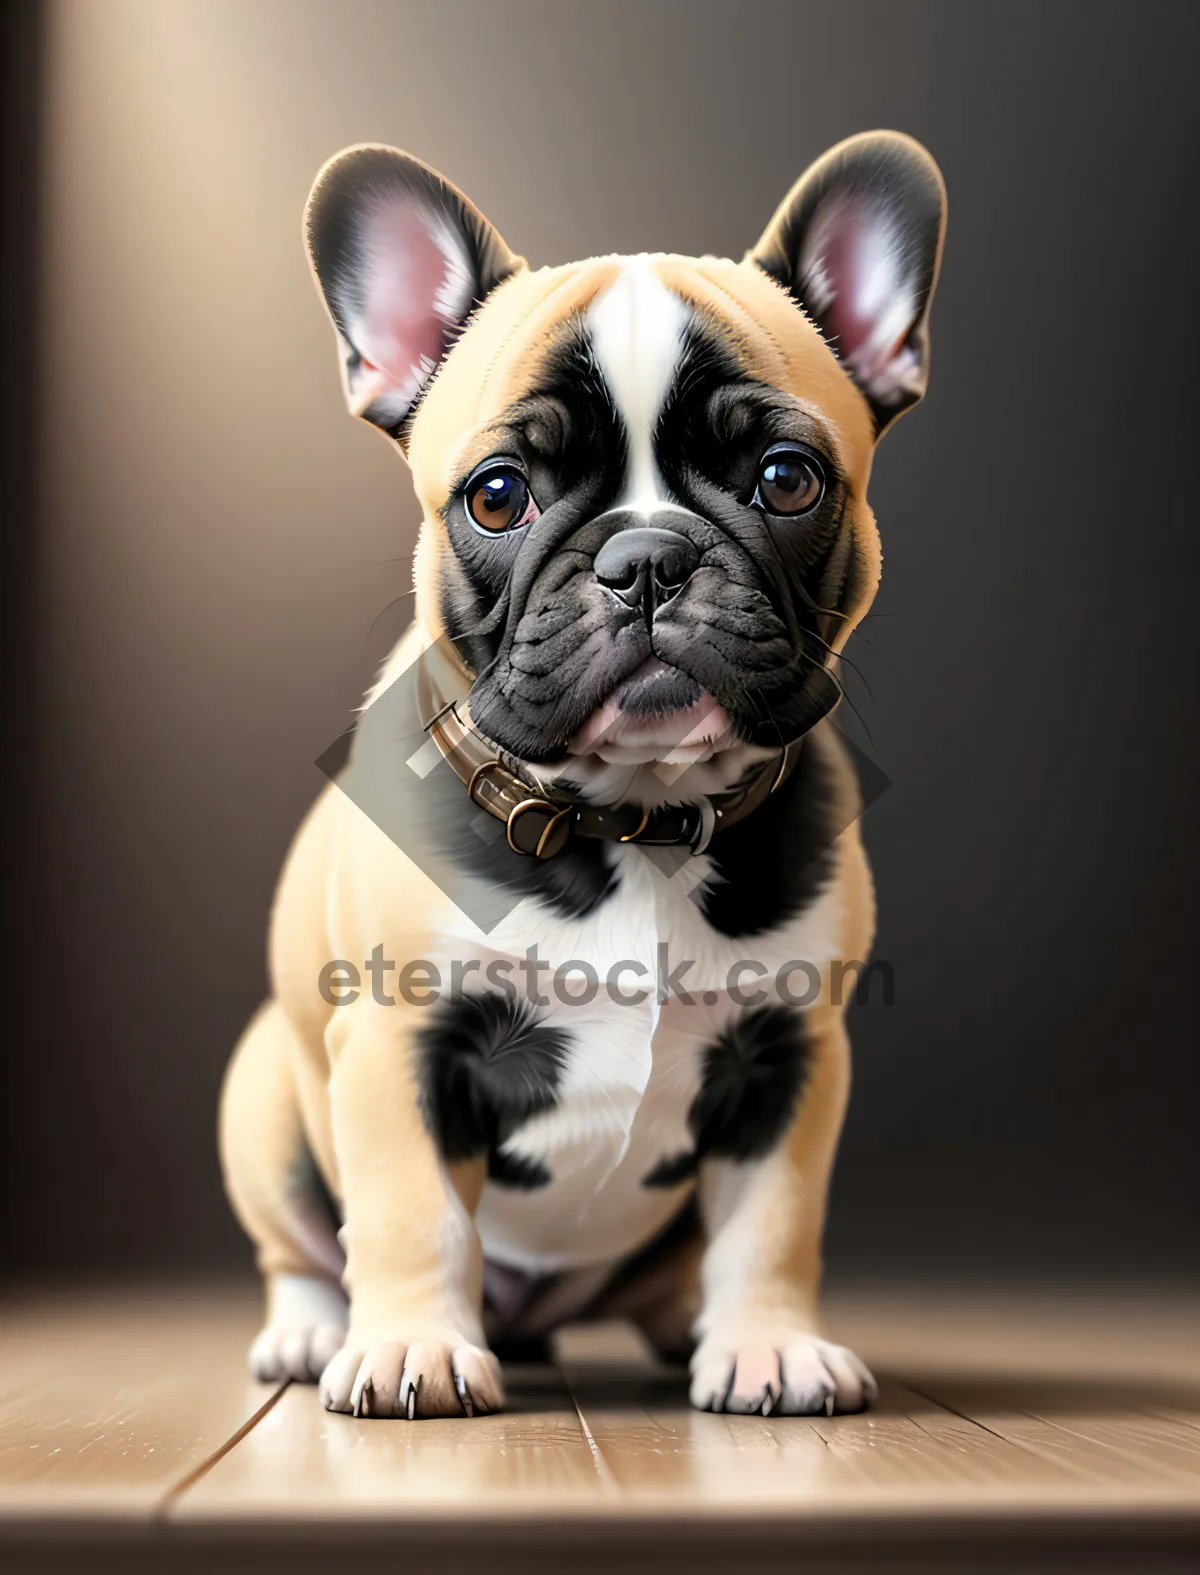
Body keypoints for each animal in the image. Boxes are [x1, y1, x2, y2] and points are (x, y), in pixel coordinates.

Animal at [215, 129, 944, 1423]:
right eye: (498, 494)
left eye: (787, 479)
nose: (645, 558)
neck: (631, 820)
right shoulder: (401, 1045)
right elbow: (410, 1213)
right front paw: (411, 1350)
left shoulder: (793, 1060)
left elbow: (772, 1225)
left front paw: (769, 1346)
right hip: (263, 1100)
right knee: (301, 1242)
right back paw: (312, 1334)